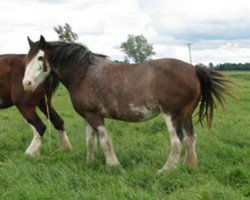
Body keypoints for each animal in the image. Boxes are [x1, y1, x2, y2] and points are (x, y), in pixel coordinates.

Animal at [22, 36, 233, 173]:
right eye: (26, 58)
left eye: (40, 57)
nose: (27, 84)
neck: (84, 74)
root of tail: (193, 69)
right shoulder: (87, 116)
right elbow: (90, 141)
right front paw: (90, 163)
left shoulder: (95, 116)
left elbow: (105, 141)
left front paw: (113, 165)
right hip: (186, 115)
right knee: (191, 139)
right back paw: (190, 166)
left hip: (172, 115)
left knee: (177, 141)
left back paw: (165, 170)